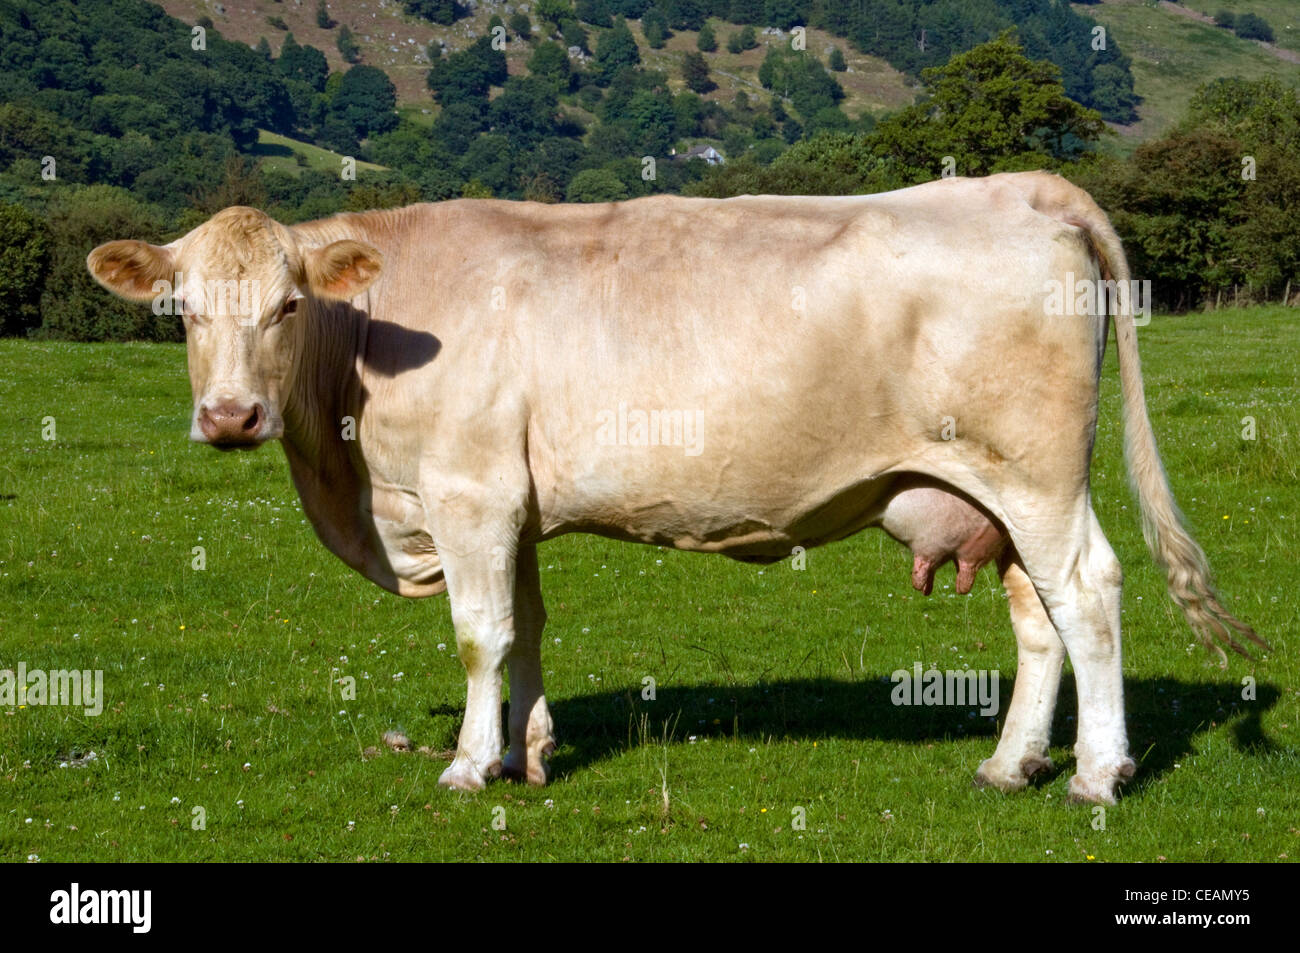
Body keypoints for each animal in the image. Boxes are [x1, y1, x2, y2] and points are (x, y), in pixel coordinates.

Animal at [87, 171, 1263, 805]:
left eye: (287, 304)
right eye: (182, 309)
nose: (229, 416)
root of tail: (1015, 185)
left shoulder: (469, 493)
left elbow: (477, 633)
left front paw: (468, 765)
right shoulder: (514, 504)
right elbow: (528, 626)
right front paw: (528, 751)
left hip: (1037, 474)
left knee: (1090, 590)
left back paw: (1096, 773)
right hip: (991, 492)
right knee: (1038, 616)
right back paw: (1010, 763)